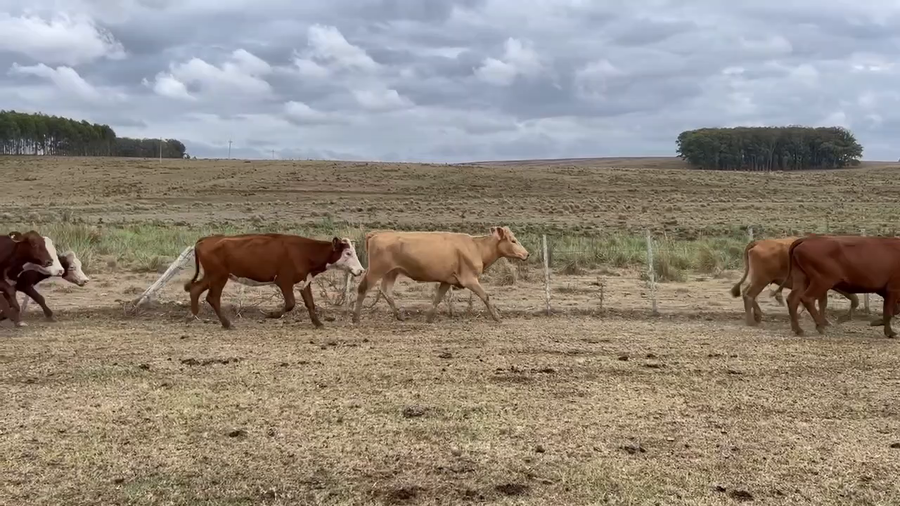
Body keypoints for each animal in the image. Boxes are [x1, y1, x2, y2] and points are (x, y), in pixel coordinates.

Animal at [183, 233, 365, 329]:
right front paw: (271, 314)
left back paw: (193, 315)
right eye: (348, 253)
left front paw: (318, 323)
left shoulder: (304, 282)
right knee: (212, 297)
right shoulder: (284, 281)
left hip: (212, 276)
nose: (361, 270)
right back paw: (227, 323)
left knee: (195, 289)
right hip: (218, 276)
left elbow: (310, 303)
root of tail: (205, 240)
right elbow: (290, 303)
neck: (303, 252)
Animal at [352, 226, 530, 324]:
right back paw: (356, 318)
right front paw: (497, 317)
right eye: (513, 240)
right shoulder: (469, 279)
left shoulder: (446, 281)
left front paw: (429, 317)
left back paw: (399, 316)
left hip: (392, 272)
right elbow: (485, 296)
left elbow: (437, 298)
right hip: (376, 270)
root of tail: (376, 234)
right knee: (362, 289)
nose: (526, 254)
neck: (477, 247)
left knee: (386, 290)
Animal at [730, 237, 859, 326]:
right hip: (761, 280)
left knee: (747, 293)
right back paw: (751, 321)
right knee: (749, 295)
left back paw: (757, 316)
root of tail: (759, 243)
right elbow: (826, 303)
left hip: (757, 280)